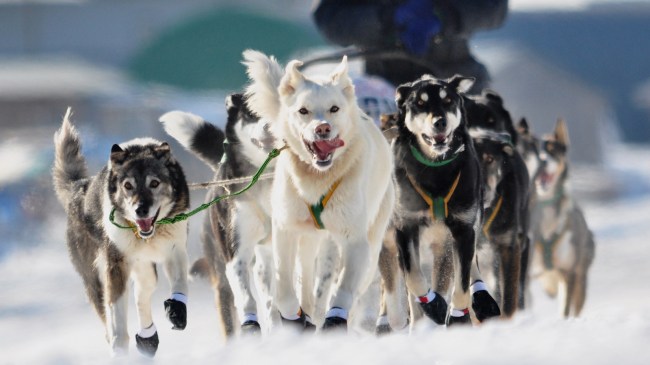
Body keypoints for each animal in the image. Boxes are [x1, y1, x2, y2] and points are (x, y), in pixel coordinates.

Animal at [243, 49, 394, 332]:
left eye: (334, 108)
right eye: (303, 110)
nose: (322, 128)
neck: (319, 179)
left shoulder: (355, 241)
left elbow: (344, 288)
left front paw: (336, 316)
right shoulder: (286, 230)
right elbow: (284, 288)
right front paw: (294, 316)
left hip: (372, 240)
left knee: (356, 285)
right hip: (309, 239)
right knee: (305, 278)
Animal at [382, 74, 498, 324]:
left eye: (448, 101)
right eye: (420, 103)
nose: (440, 122)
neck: (435, 168)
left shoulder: (463, 227)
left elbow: (462, 282)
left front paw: (458, 316)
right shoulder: (405, 226)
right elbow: (414, 277)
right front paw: (433, 304)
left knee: (470, 264)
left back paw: (482, 297)